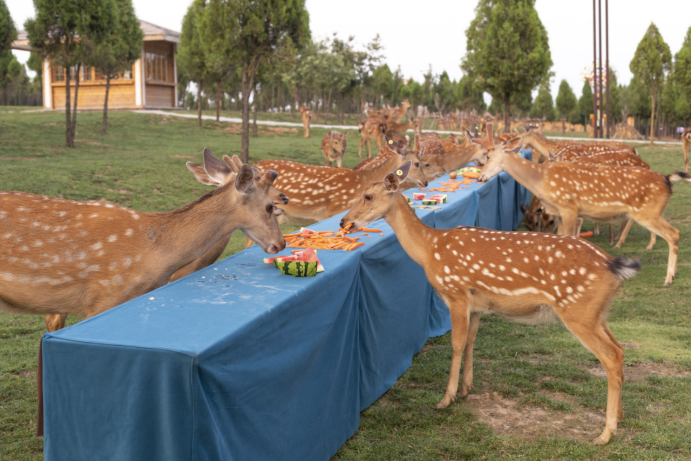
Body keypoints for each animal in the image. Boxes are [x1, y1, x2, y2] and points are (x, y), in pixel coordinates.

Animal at [342, 162, 644, 446]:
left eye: (368, 196)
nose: (344, 222)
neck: (430, 250)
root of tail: (614, 266)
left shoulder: (456, 294)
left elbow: (456, 344)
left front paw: (446, 398)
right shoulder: (478, 305)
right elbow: (471, 341)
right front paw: (467, 388)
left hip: (577, 310)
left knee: (610, 355)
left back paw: (605, 433)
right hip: (597, 312)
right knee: (620, 349)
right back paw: (620, 416)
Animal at [476, 136, 691, 284]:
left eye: (488, 156)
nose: (479, 177)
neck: (543, 181)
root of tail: (668, 180)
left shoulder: (569, 207)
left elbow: (570, 237)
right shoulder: (562, 213)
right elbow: (561, 238)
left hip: (647, 213)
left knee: (674, 233)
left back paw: (668, 278)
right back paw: (674, 272)